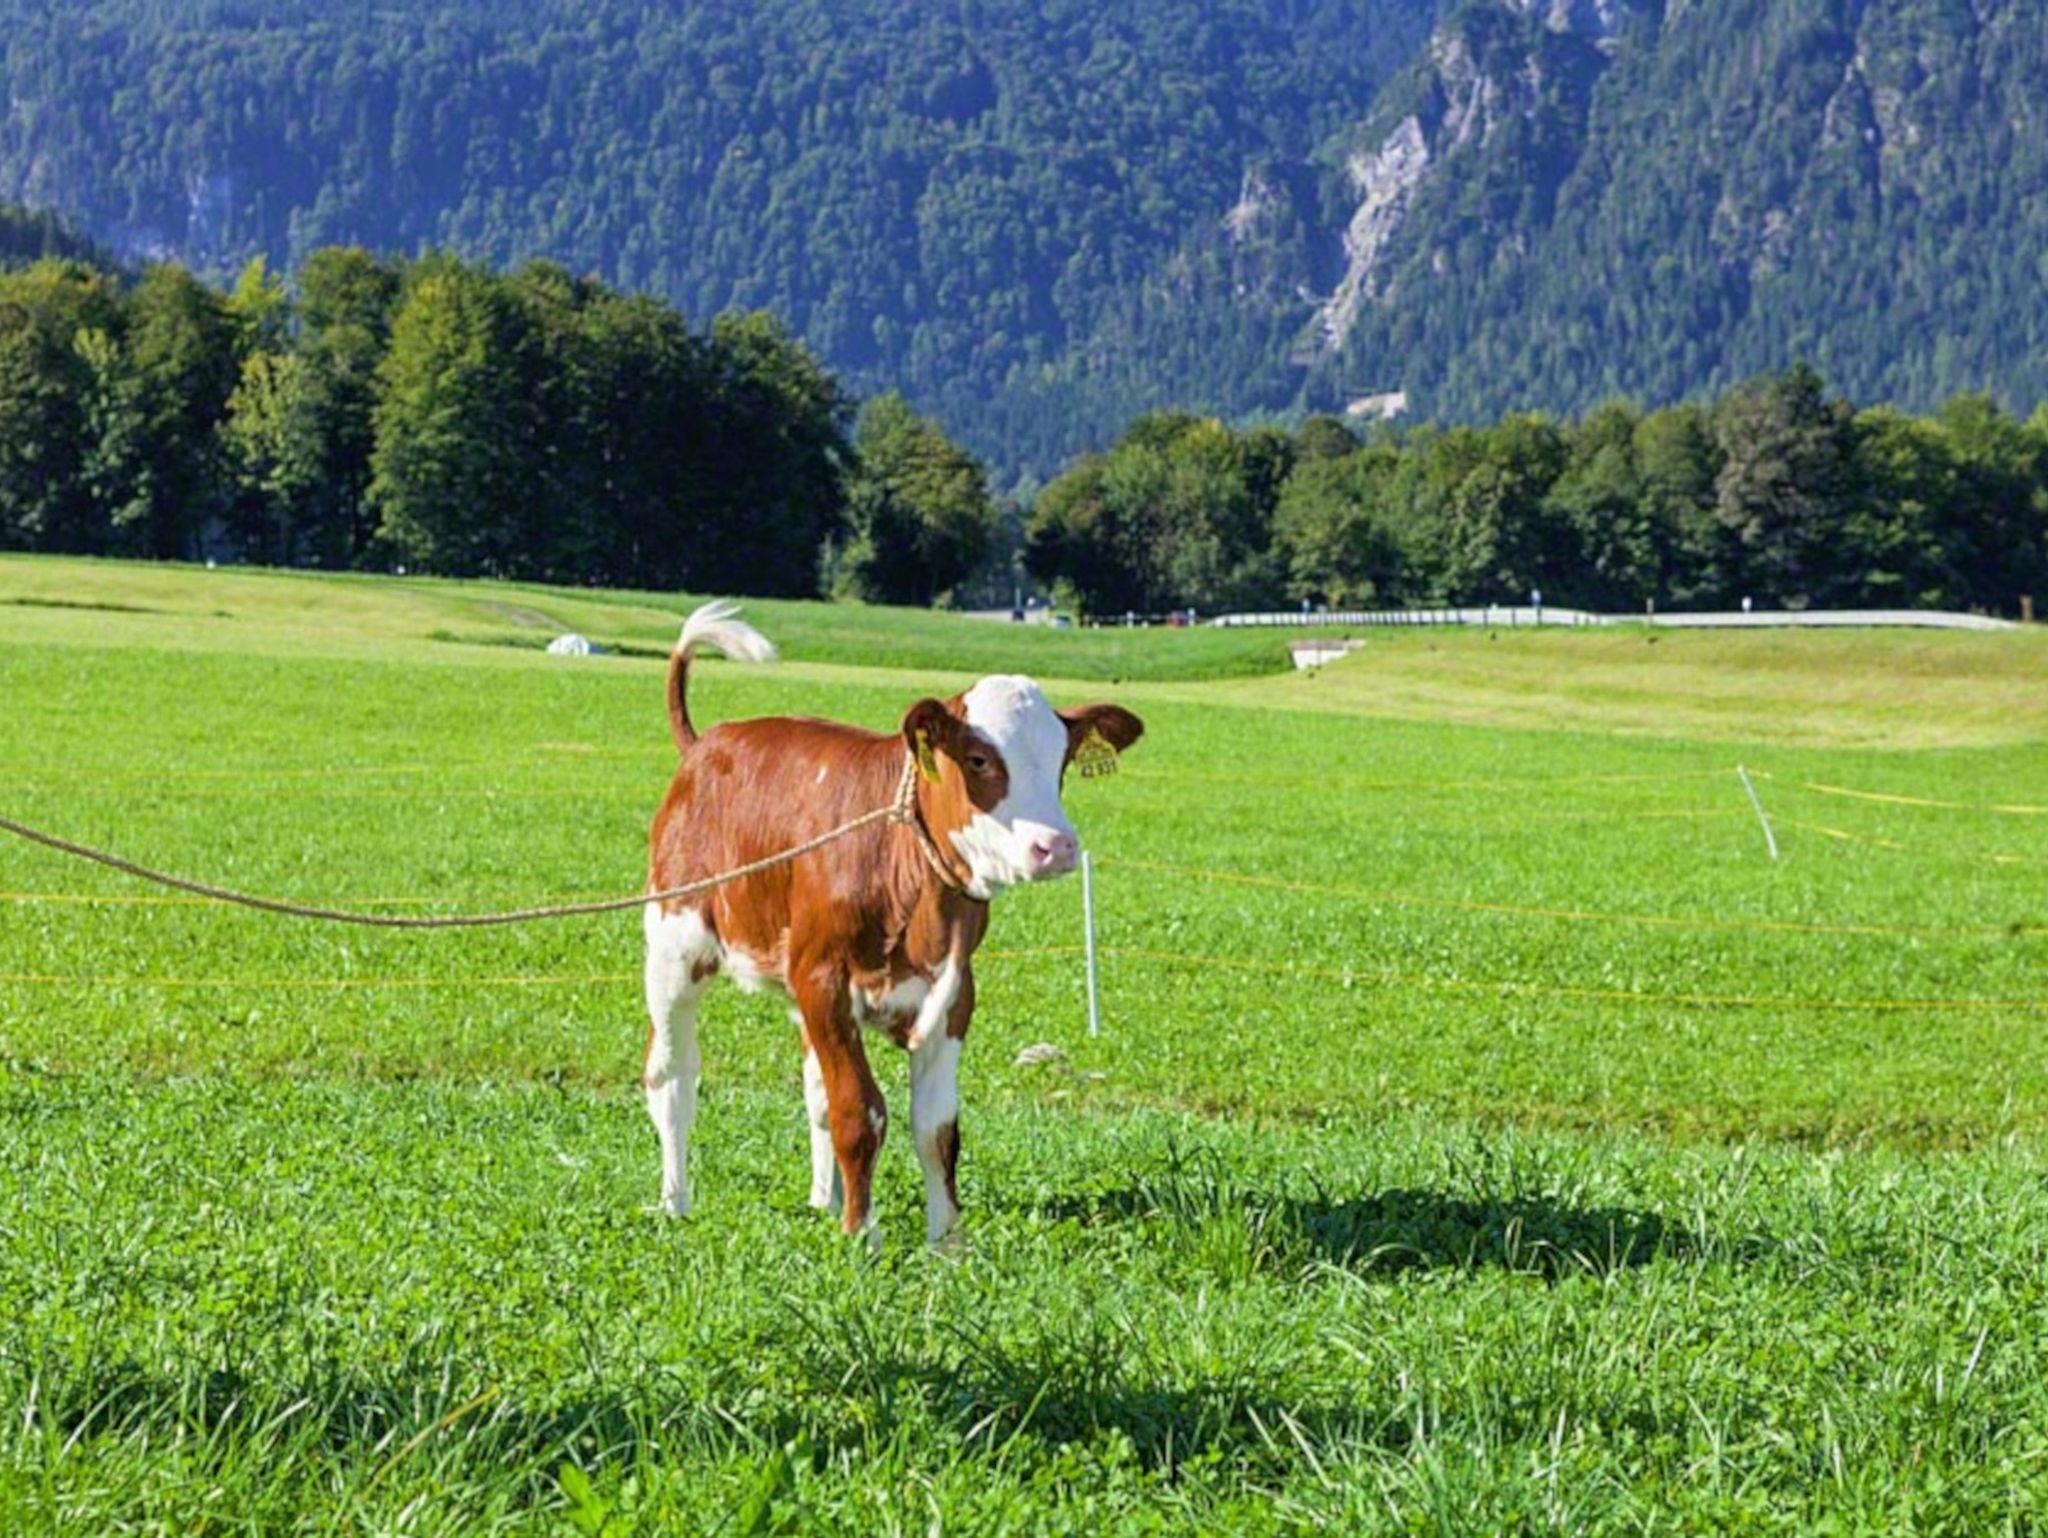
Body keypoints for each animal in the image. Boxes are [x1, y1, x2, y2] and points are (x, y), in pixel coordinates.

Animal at [642, 601, 1143, 1247]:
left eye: (1060, 760)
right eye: (979, 759)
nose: (1055, 846)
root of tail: (707, 743)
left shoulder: (952, 994)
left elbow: (936, 1128)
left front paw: (945, 1242)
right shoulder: (824, 980)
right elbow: (859, 1111)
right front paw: (861, 1234)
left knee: (812, 1088)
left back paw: (821, 1201)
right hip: (674, 943)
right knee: (673, 1076)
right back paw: (676, 1203)